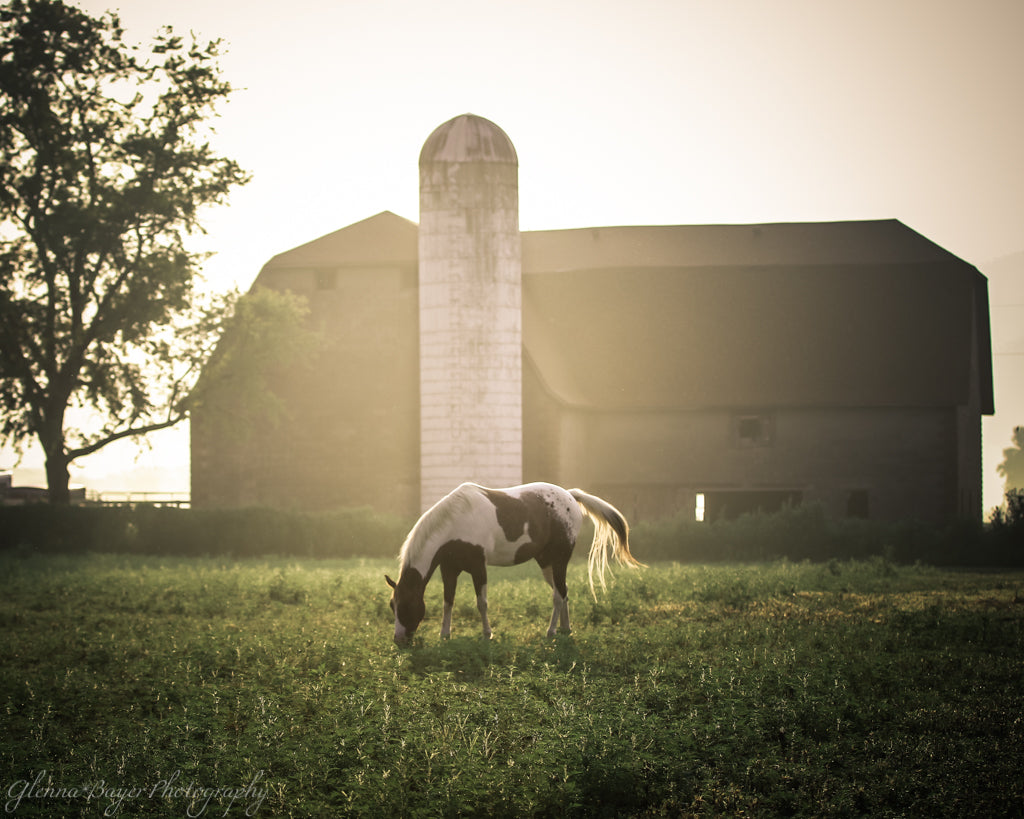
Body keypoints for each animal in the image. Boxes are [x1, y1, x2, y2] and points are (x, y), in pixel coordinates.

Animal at [385, 482, 644, 644]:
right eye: (392, 605)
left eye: (406, 605)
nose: (399, 640)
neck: (456, 521)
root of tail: (570, 496)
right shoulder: (450, 569)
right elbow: (448, 601)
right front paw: (445, 634)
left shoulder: (478, 567)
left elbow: (482, 603)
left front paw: (487, 634)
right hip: (547, 564)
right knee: (563, 592)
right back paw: (565, 629)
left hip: (559, 560)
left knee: (558, 594)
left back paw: (551, 631)